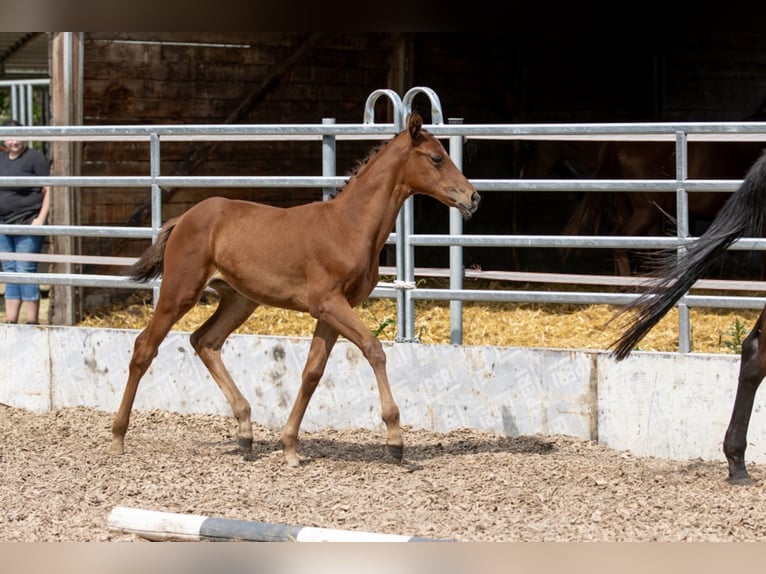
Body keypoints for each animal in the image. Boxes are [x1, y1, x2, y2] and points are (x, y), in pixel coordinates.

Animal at [111, 112, 480, 468]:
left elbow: (312, 372)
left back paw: (245, 434)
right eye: (436, 158)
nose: (473, 196)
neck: (349, 225)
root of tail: (183, 219)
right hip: (180, 292)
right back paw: (118, 437)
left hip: (239, 300)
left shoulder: (332, 310)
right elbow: (374, 349)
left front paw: (289, 447)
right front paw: (395, 442)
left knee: (205, 341)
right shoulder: (328, 303)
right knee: (144, 347)